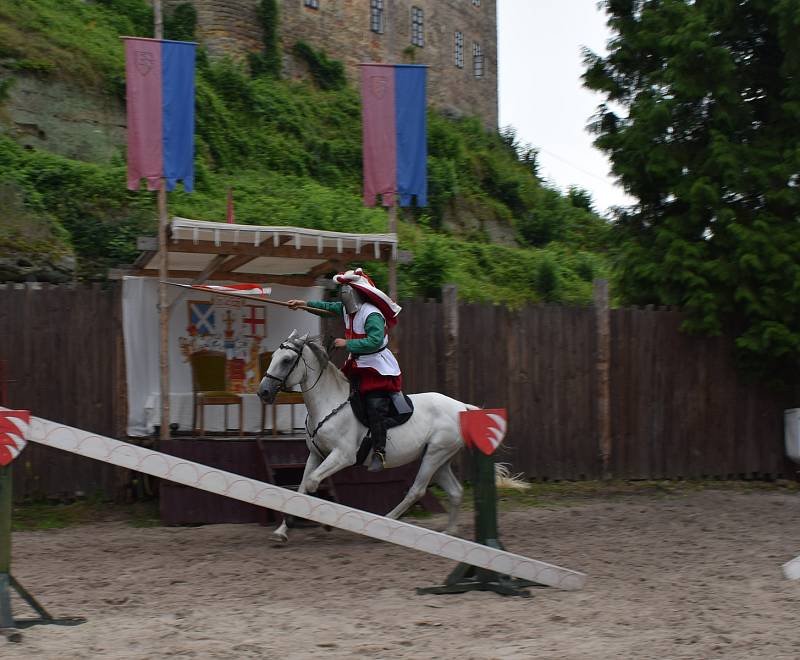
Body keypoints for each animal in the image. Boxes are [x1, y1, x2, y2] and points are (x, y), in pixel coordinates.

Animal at [260, 332, 478, 544]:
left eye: (287, 360)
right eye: (274, 357)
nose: (263, 391)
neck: (329, 404)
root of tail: (460, 407)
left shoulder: (342, 456)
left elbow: (312, 482)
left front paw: (322, 520)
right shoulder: (316, 455)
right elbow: (302, 487)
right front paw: (282, 531)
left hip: (434, 455)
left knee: (417, 490)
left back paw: (388, 521)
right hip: (439, 459)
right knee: (455, 491)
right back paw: (449, 533)